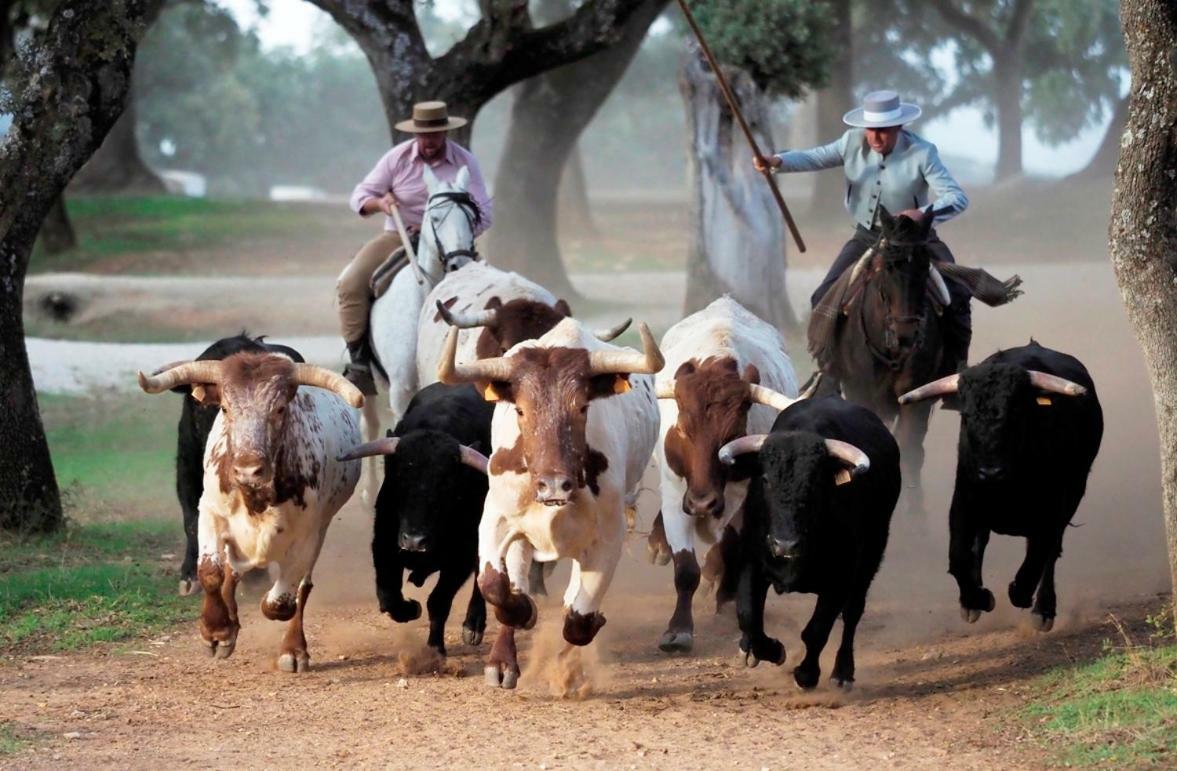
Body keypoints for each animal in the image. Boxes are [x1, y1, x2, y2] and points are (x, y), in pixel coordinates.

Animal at [137, 353, 360, 673]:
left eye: (279, 409)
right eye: (225, 408)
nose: (247, 469)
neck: (255, 498)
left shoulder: (306, 535)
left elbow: (281, 601)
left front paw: (287, 642)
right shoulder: (209, 513)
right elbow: (211, 572)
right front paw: (217, 630)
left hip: (322, 528)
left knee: (300, 588)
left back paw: (294, 648)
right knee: (233, 569)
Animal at [440, 317, 668, 692]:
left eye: (583, 407)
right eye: (520, 409)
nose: (554, 485)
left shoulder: (607, 536)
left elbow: (578, 617)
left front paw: (576, 650)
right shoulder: (496, 518)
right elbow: (495, 585)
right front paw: (522, 613)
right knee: (515, 573)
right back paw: (503, 661)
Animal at [644, 298, 800, 654]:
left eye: (733, 436)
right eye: (683, 431)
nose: (703, 503)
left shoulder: (743, 500)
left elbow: (731, 547)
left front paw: (726, 601)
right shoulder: (677, 496)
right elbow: (686, 569)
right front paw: (678, 630)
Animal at [819, 209, 946, 513]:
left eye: (925, 265)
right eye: (888, 267)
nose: (906, 333)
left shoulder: (915, 395)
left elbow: (910, 450)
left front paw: (915, 517)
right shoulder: (861, 392)